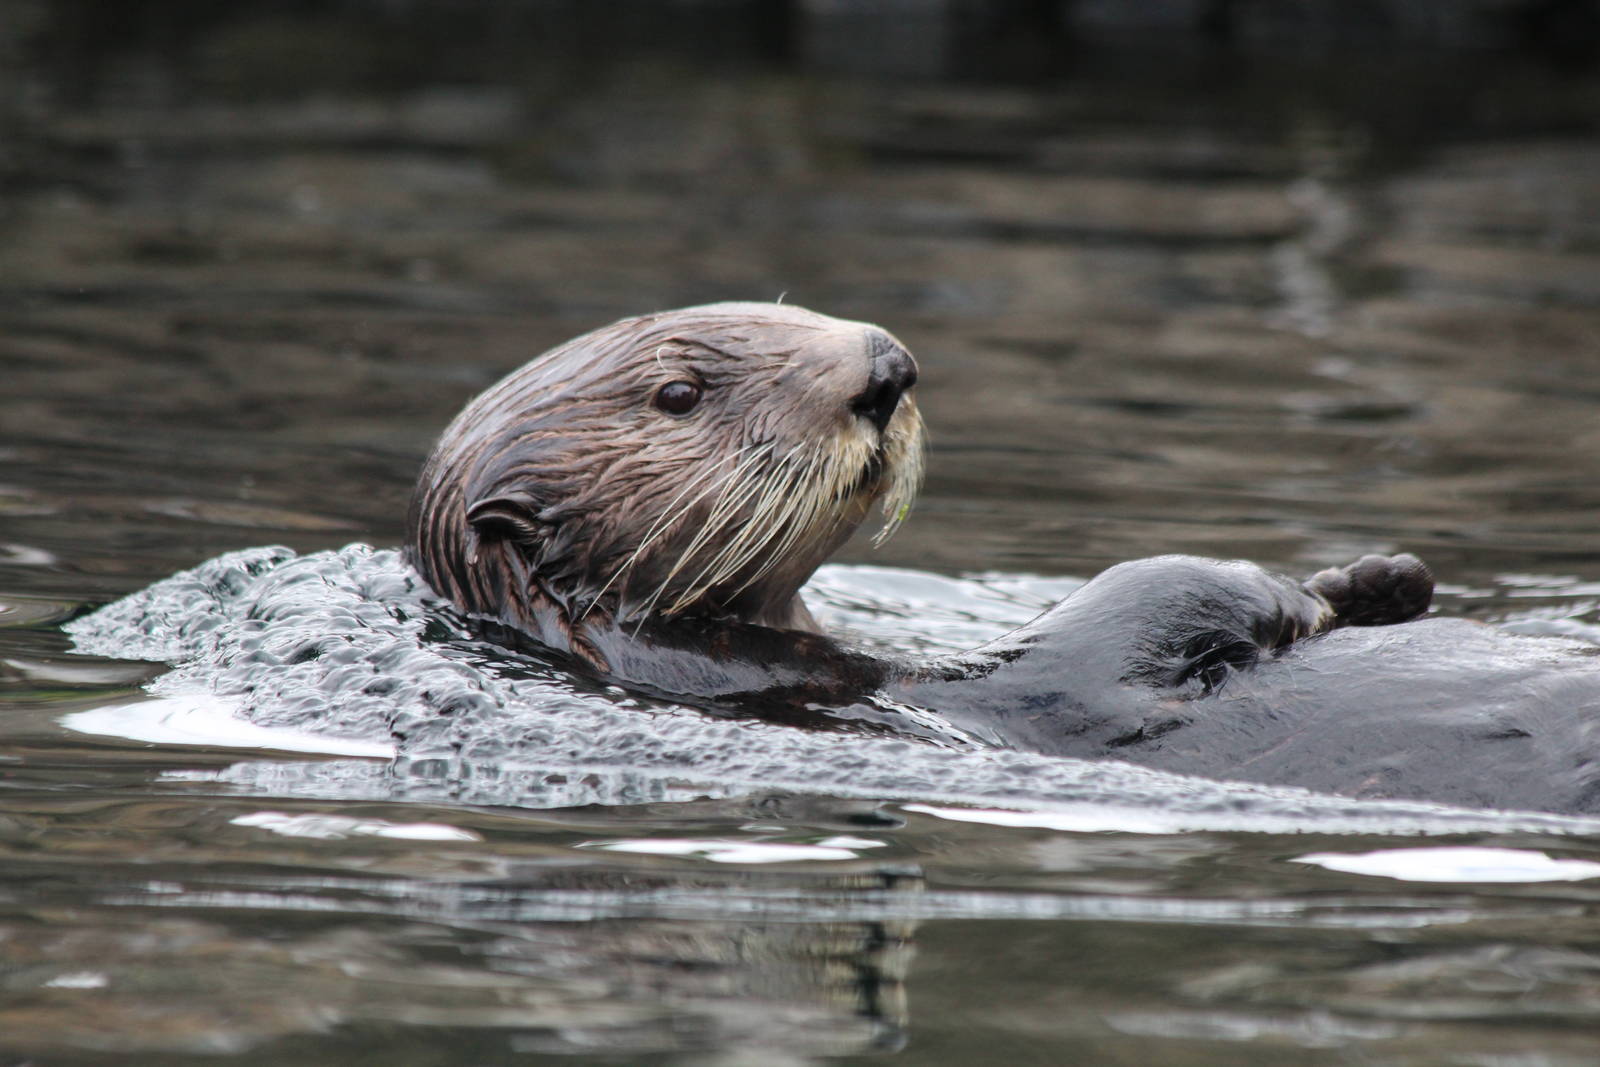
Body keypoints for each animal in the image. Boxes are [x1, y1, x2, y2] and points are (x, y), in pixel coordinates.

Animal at [406, 302, 1600, 814]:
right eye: (679, 392)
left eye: (783, 312)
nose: (885, 368)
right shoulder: (1019, 697)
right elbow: (1138, 607)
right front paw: (1290, 592)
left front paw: (1376, 579)